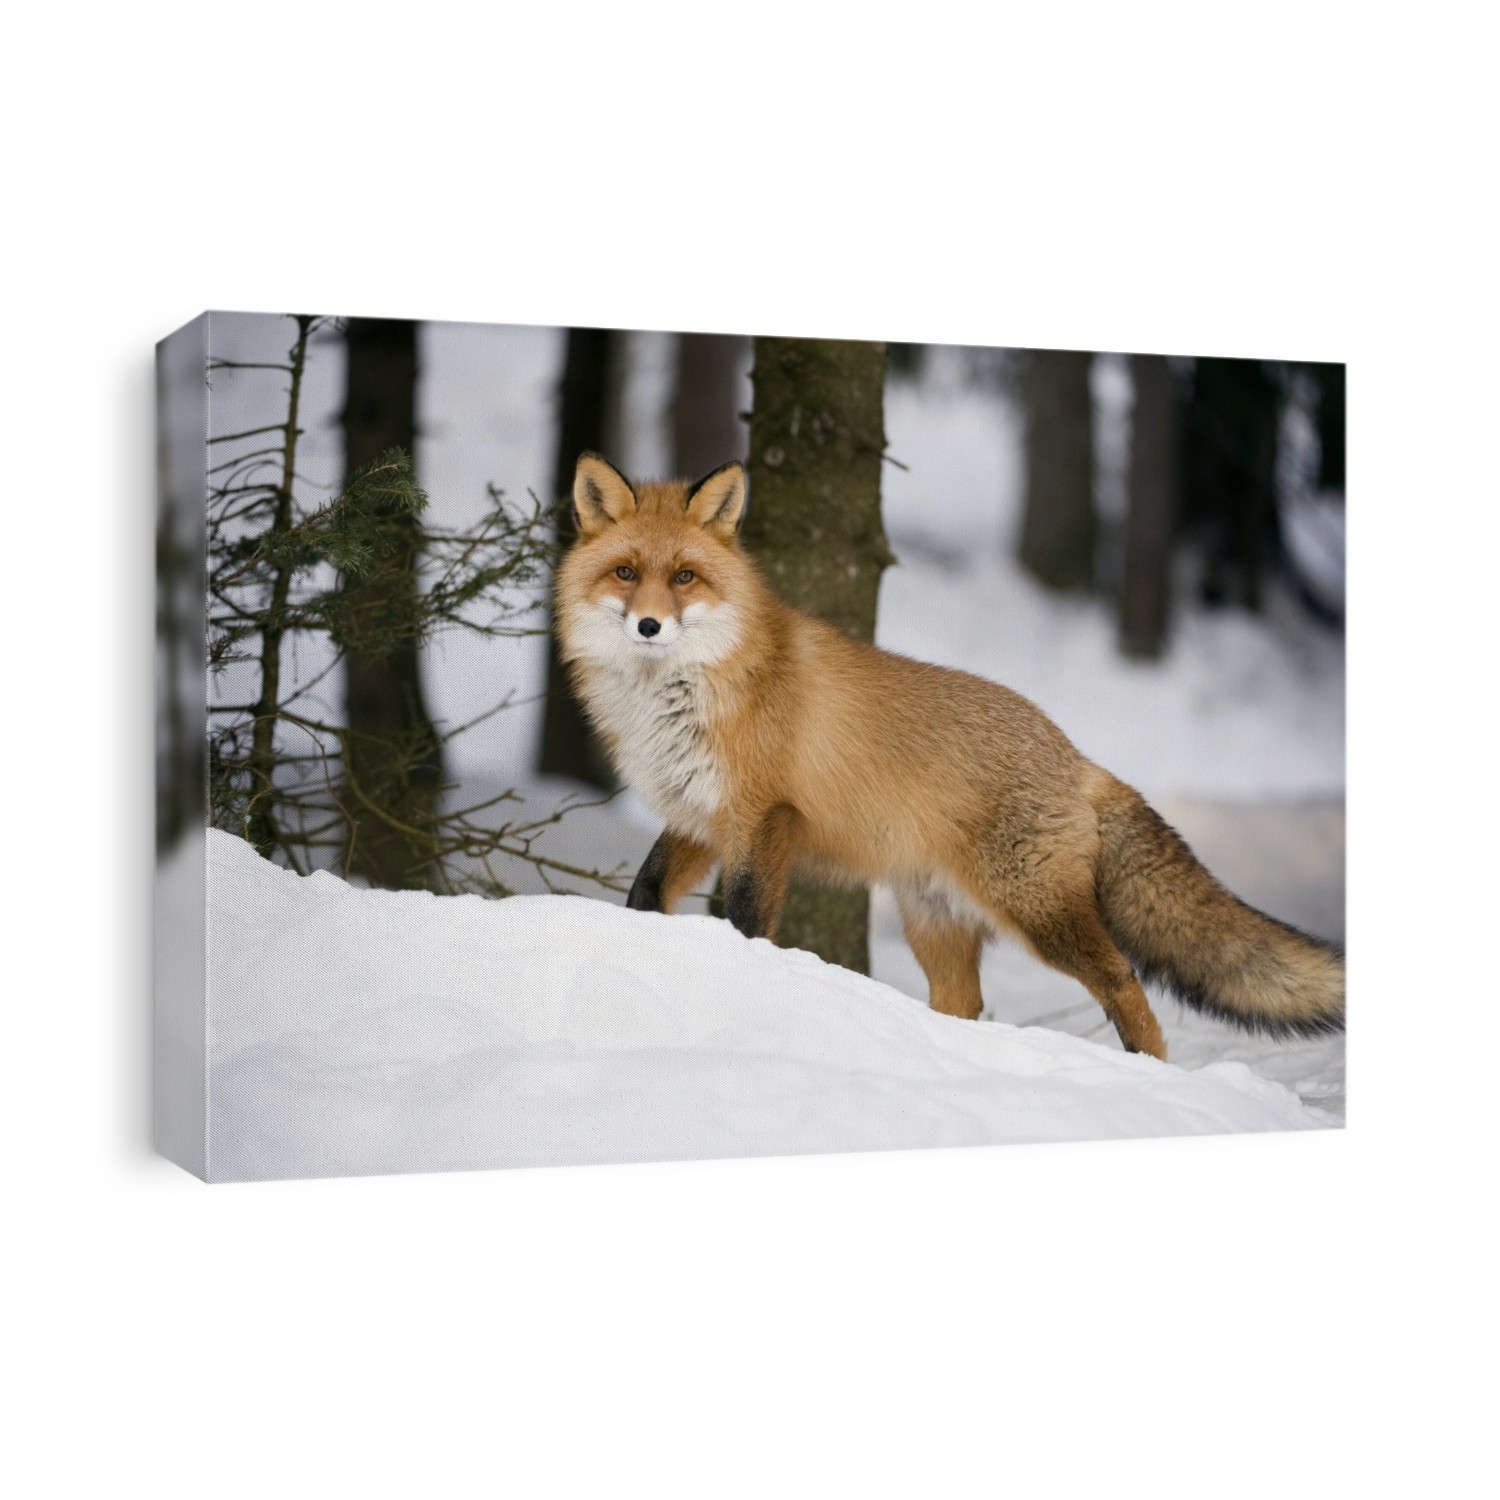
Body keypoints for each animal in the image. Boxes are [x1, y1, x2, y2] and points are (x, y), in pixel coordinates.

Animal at [554, 451, 1344, 1062]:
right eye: (626, 573)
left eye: (685, 578)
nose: (649, 625)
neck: (674, 699)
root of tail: (1078, 756)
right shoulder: (698, 816)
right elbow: (645, 894)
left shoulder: (761, 817)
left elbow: (747, 920)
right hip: (934, 921)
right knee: (964, 1001)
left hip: (1038, 914)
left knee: (1123, 978)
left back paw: (1149, 1069)